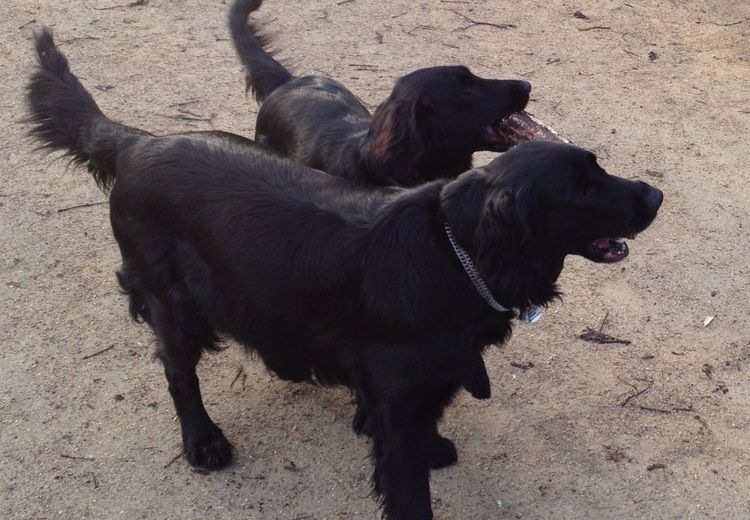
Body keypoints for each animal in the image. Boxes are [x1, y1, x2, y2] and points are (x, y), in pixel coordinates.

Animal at [25, 28, 664, 520]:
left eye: (597, 168)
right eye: (580, 188)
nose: (657, 196)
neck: (453, 252)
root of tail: (137, 143)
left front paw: (435, 444)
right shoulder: (398, 412)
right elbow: (409, 494)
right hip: (174, 302)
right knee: (180, 375)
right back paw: (203, 441)